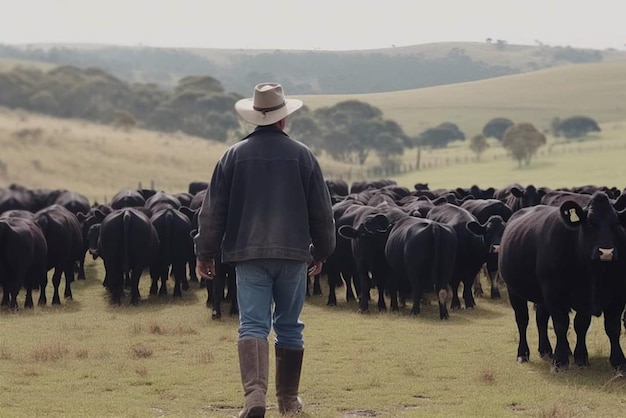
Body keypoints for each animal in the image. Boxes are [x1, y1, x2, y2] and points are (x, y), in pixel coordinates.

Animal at [498, 191, 624, 370]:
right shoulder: (553, 291)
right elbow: (561, 324)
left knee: (541, 319)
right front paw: (560, 360)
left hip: (541, 297)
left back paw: (546, 350)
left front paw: (612, 360)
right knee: (522, 319)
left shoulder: (615, 294)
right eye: (589, 223)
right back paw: (523, 354)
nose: (606, 252)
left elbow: (602, 326)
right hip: (514, 290)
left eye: (616, 223)